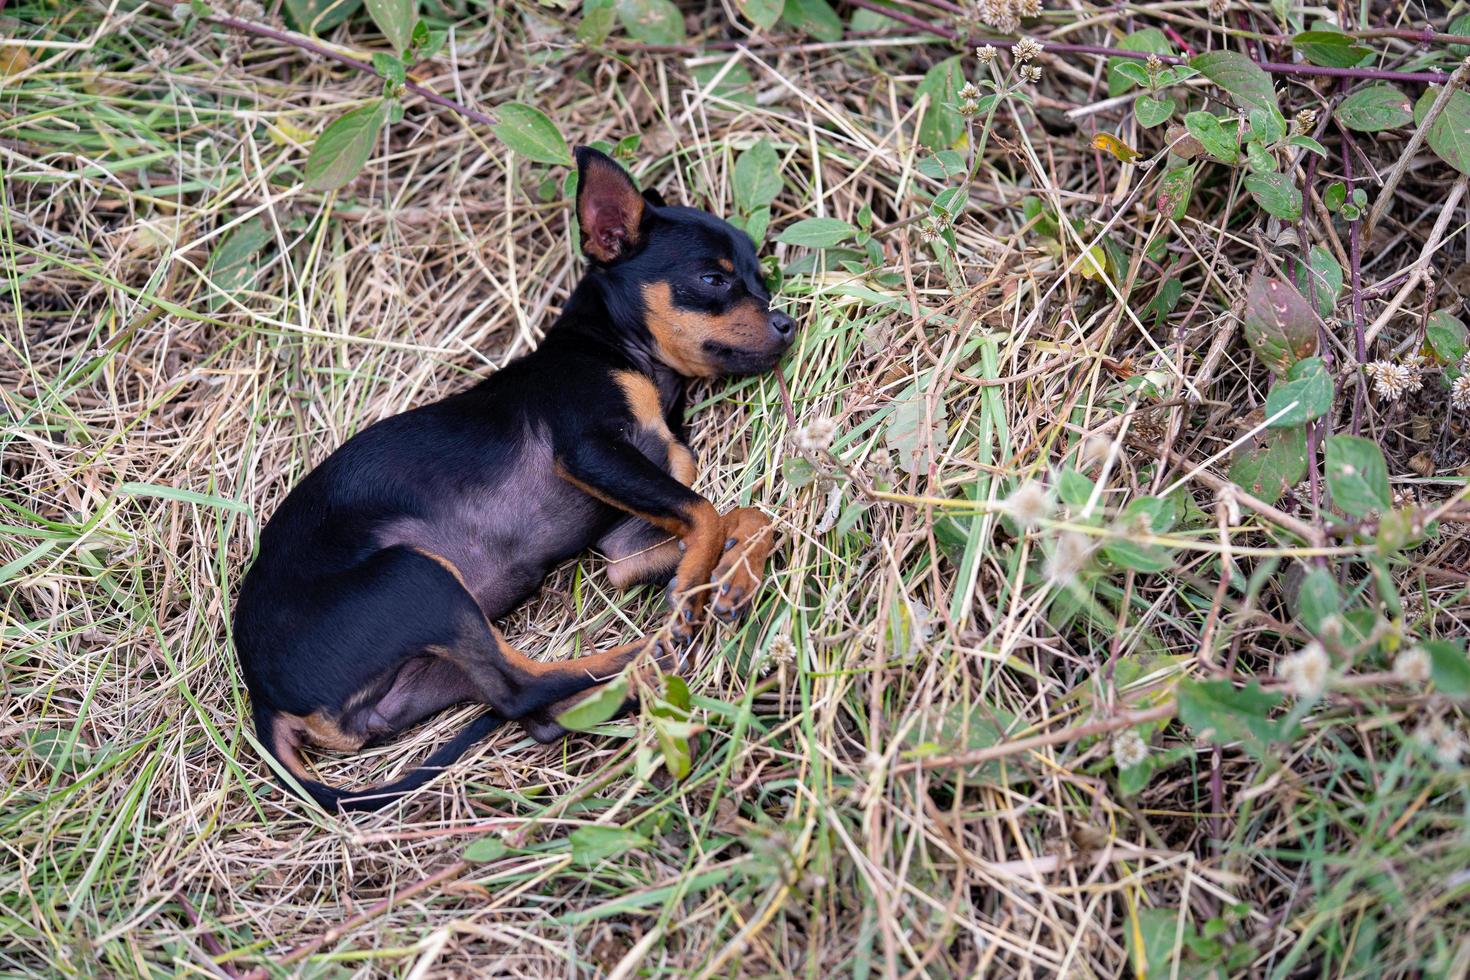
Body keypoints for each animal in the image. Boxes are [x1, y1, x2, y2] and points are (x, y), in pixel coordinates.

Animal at [235, 145, 793, 811]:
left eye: (763, 281)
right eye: (714, 280)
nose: (786, 322)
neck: (626, 359)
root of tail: (261, 700)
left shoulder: (624, 546)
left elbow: (747, 515)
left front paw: (732, 575)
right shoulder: (589, 451)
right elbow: (707, 511)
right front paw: (692, 590)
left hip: (423, 675)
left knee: (529, 710)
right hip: (418, 577)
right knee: (525, 689)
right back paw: (646, 659)